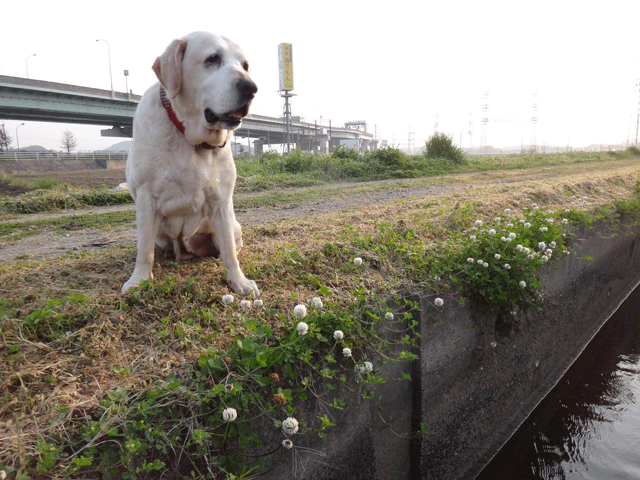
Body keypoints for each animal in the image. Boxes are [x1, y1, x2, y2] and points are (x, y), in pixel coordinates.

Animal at [121, 31, 258, 296]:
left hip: (234, 225)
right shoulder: (145, 198)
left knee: (229, 246)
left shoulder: (221, 200)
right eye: (212, 59)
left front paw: (239, 280)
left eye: (245, 65)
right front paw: (138, 279)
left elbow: (229, 251)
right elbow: (144, 251)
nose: (251, 87)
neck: (190, 139)